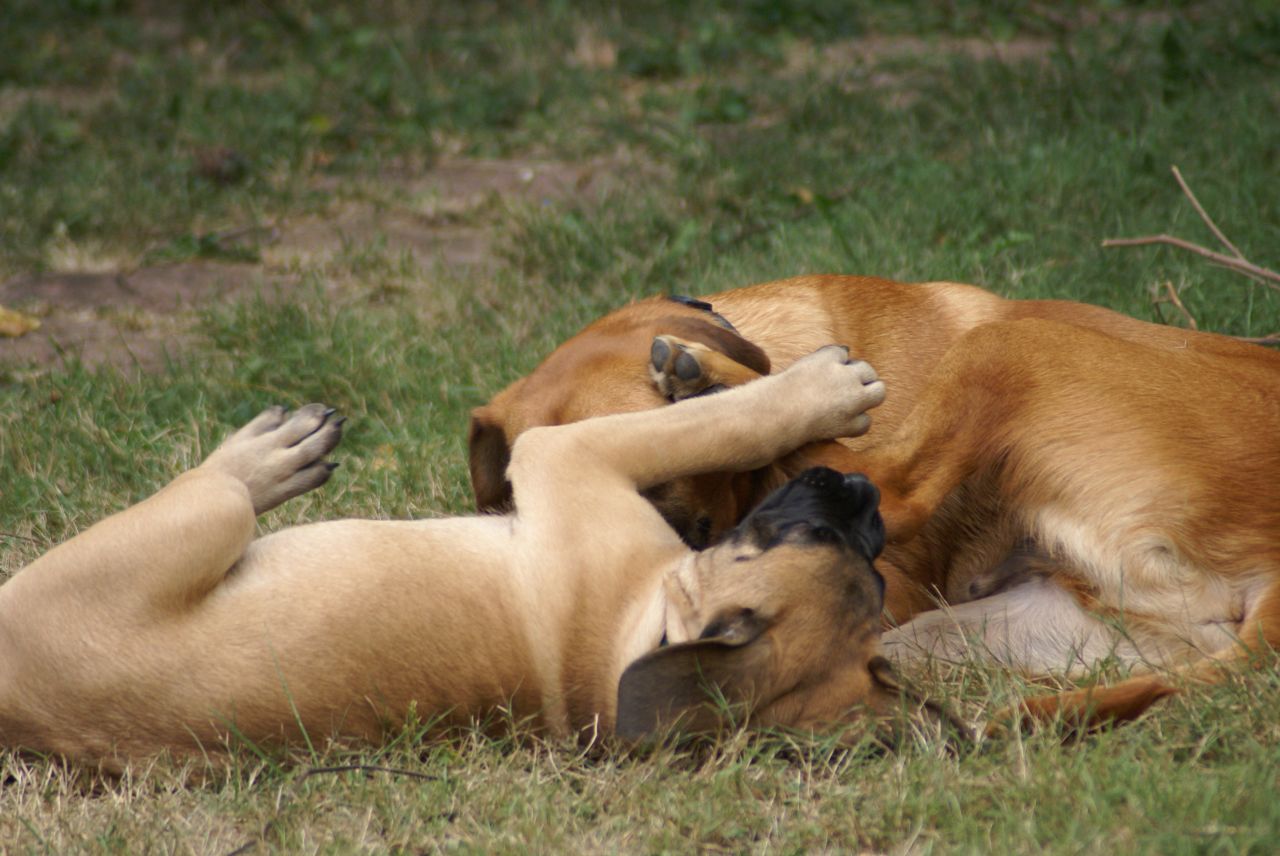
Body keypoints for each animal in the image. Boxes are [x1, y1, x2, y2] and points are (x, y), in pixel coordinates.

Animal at [0, 342, 931, 762]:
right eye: (827, 540)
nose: (864, 498)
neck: (636, 634)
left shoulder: (566, 455)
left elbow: (712, 425)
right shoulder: (573, 455)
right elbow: (712, 423)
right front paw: (813, 390)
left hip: (204, 523)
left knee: (222, 487)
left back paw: (267, 455)